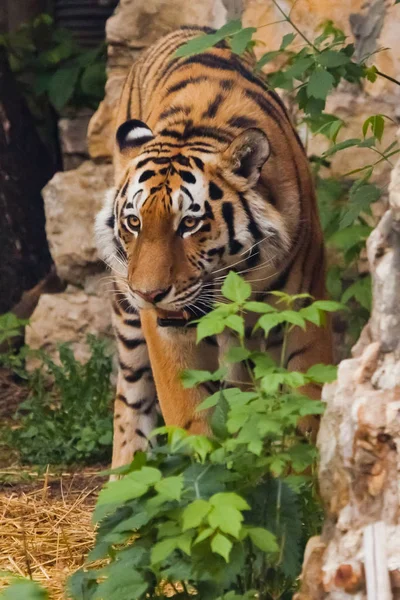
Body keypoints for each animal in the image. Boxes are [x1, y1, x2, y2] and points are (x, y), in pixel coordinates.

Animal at [95, 25, 332, 472]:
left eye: (189, 224)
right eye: (134, 222)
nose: (149, 294)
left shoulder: (301, 303)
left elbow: (306, 400)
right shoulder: (167, 329)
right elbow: (189, 412)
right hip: (125, 305)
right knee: (131, 392)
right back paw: (125, 473)